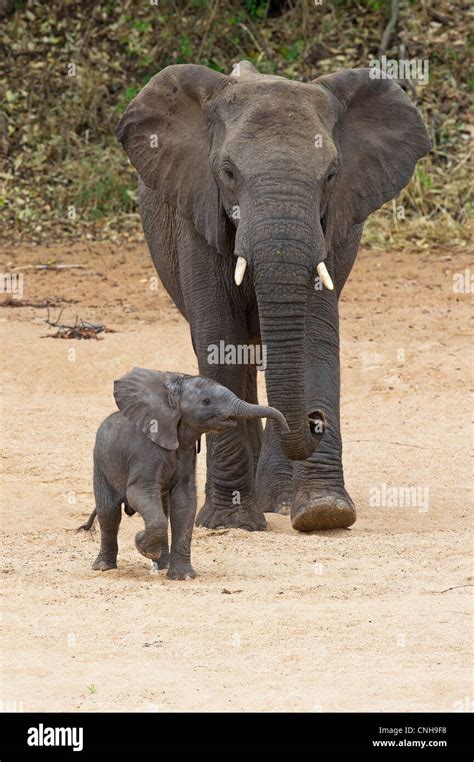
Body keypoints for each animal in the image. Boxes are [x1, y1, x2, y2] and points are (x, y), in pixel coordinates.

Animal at [79, 366, 286, 576]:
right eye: (206, 401)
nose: (285, 429)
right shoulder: (145, 451)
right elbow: (139, 493)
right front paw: (142, 544)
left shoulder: (186, 453)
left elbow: (184, 501)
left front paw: (183, 576)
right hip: (101, 464)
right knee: (109, 513)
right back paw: (103, 567)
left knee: (161, 509)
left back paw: (162, 565)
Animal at [116, 60, 432, 528]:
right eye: (228, 172)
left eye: (331, 175)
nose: (315, 420)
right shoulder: (197, 216)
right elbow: (219, 340)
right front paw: (230, 522)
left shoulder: (330, 230)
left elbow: (315, 339)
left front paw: (323, 513)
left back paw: (278, 502)